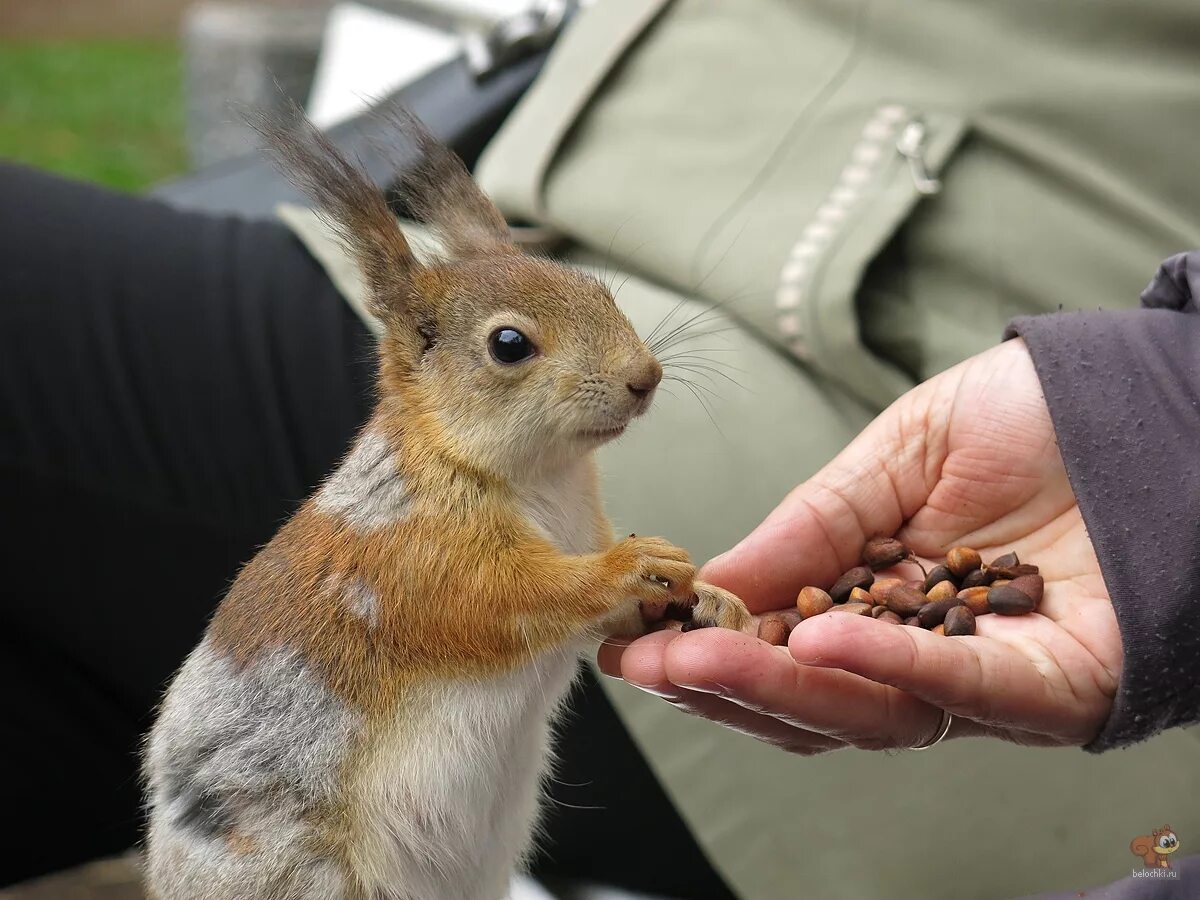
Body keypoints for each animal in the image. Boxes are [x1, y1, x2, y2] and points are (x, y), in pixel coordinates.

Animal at [142, 107, 748, 900]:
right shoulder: (414, 554)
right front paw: (630, 564)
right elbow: (506, 598)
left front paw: (709, 597)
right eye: (509, 344)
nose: (644, 377)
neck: (543, 479)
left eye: (597, 289)